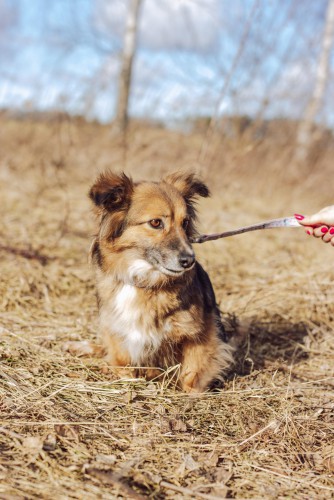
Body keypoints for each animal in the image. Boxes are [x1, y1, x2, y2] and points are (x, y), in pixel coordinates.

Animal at [81, 172, 235, 394]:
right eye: (155, 223)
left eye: (185, 222)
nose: (189, 260)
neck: (144, 280)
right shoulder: (117, 330)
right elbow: (123, 364)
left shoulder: (200, 332)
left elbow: (193, 372)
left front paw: (192, 394)